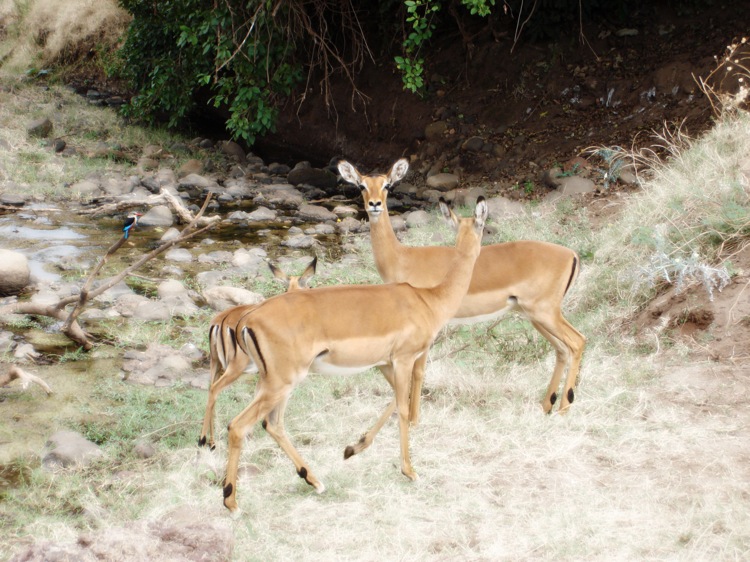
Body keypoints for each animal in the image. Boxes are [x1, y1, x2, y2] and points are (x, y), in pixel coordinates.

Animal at [198, 257, 317, 451]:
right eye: (309, 286)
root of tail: (219, 321)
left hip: (216, 365)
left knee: (210, 390)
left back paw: (212, 442)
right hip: (234, 369)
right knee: (215, 390)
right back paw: (202, 440)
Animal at [211, 198, 488, 514]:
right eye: (483, 225)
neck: (429, 300)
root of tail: (247, 320)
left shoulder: (385, 364)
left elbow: (395, 401)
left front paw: (352, 449)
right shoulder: (404, 359)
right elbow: (403, 409)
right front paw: (410, 471)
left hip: (271, 383)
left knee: (271, 423)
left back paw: (315, 482)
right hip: (280, 382)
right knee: (238, 425)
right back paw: (232, 502)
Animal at [338, 157, 585, 427]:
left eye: (387, 185)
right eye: (362, 185)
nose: (374, 205)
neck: (402, 258)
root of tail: (571, 254)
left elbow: (418, 371)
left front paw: (414, 421)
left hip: (545, 313)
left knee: (577, 342)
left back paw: (564, 408)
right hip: (536, 316)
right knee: (562, 349)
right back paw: (547, 406)